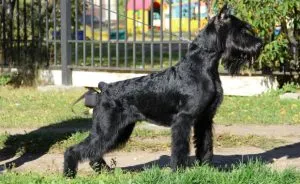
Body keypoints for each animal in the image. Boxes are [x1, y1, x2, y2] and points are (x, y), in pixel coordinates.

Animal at [63, 4, 262, 177]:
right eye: (242, 30)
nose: (259, 44)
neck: (203, 64)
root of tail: (104, 87)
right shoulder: (183, 119)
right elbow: (180, 148)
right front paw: (179, 171)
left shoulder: (205, 119)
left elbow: (205, 144)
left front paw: (207, 168)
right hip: (108, 129)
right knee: (75, 149)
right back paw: (69, 174)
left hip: (119, 130)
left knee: (94, 152)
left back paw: (104, 171)